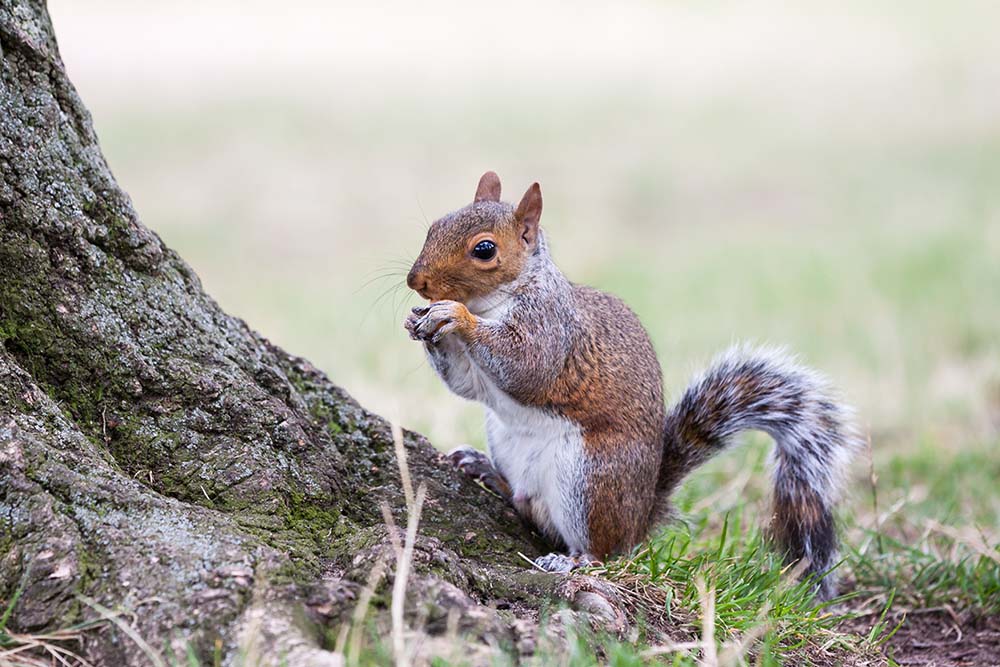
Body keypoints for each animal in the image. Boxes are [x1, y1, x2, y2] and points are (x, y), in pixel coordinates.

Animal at [404, 172, 860, 600]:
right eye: (436, 225)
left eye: (484, 249)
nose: (416, 282)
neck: (499, 299)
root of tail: (641, 518)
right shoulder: (475, 374)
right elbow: (466, 386)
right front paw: (420, 322)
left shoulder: (551, 330)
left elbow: (526, 366)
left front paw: (454, 315)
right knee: (525, 505)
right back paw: (487, 472)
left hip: (591, 479)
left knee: (604, 550)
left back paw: (574, 559)